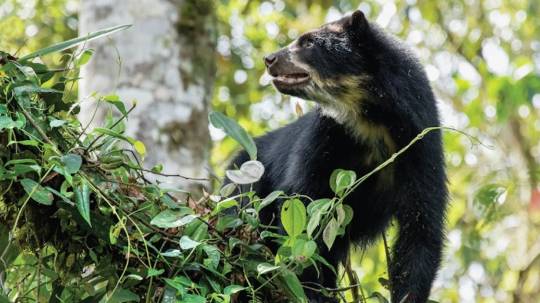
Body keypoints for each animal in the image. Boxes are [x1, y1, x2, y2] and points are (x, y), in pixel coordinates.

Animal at [228, 10, 448, 303]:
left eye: (308, 43)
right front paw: (311, 290)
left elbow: (421, 228)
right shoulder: (324, 138)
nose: (269, 59)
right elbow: (303, 207)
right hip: (245, 183)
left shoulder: (420, 146)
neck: (372, 121)